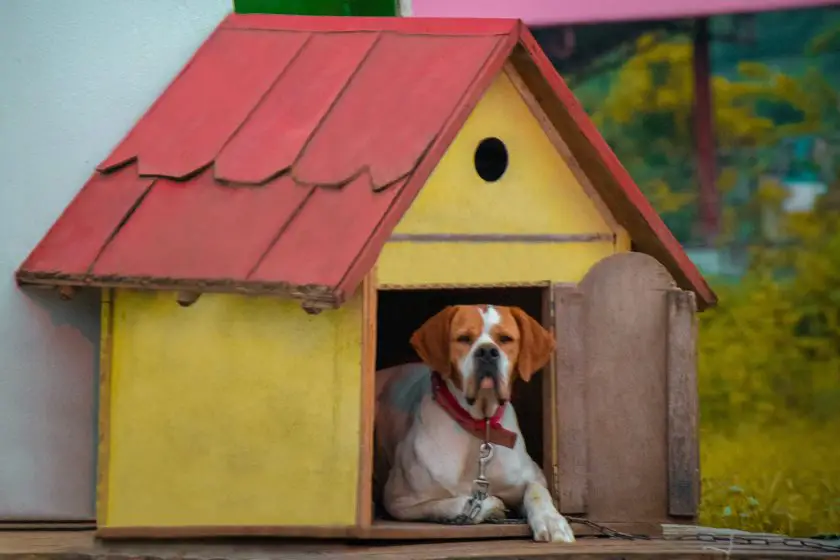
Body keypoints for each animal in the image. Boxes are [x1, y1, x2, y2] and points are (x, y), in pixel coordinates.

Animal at [376, 304, 576, 544]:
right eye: (464, 338)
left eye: (505, 339)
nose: (488, 352)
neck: (479, 425)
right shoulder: (399, 500)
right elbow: (455, 503)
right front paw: (489, 506)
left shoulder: (534, 475)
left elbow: (537, 491)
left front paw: (551, 520)